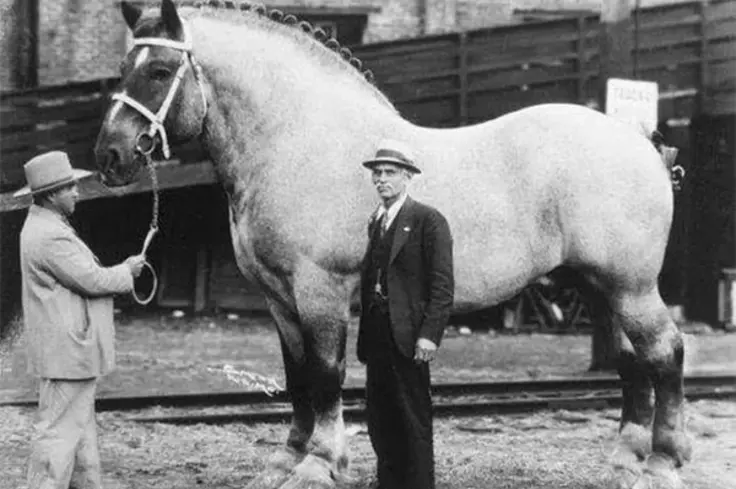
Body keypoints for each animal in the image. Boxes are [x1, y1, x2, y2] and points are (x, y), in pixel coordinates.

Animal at [94, 1, 691, 488]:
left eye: (159, 71)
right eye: (122, 70)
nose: (110, 156)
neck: (300, 141)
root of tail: (639, 140)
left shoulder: (320, 291)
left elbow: (325, 373)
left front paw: (319, 464)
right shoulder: (278, 298)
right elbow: (296, 376)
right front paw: (287, 459)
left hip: (631, 287)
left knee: (664, 352)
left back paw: (664, 462)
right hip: (598, 287)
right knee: (630, 361)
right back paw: (625, 461)